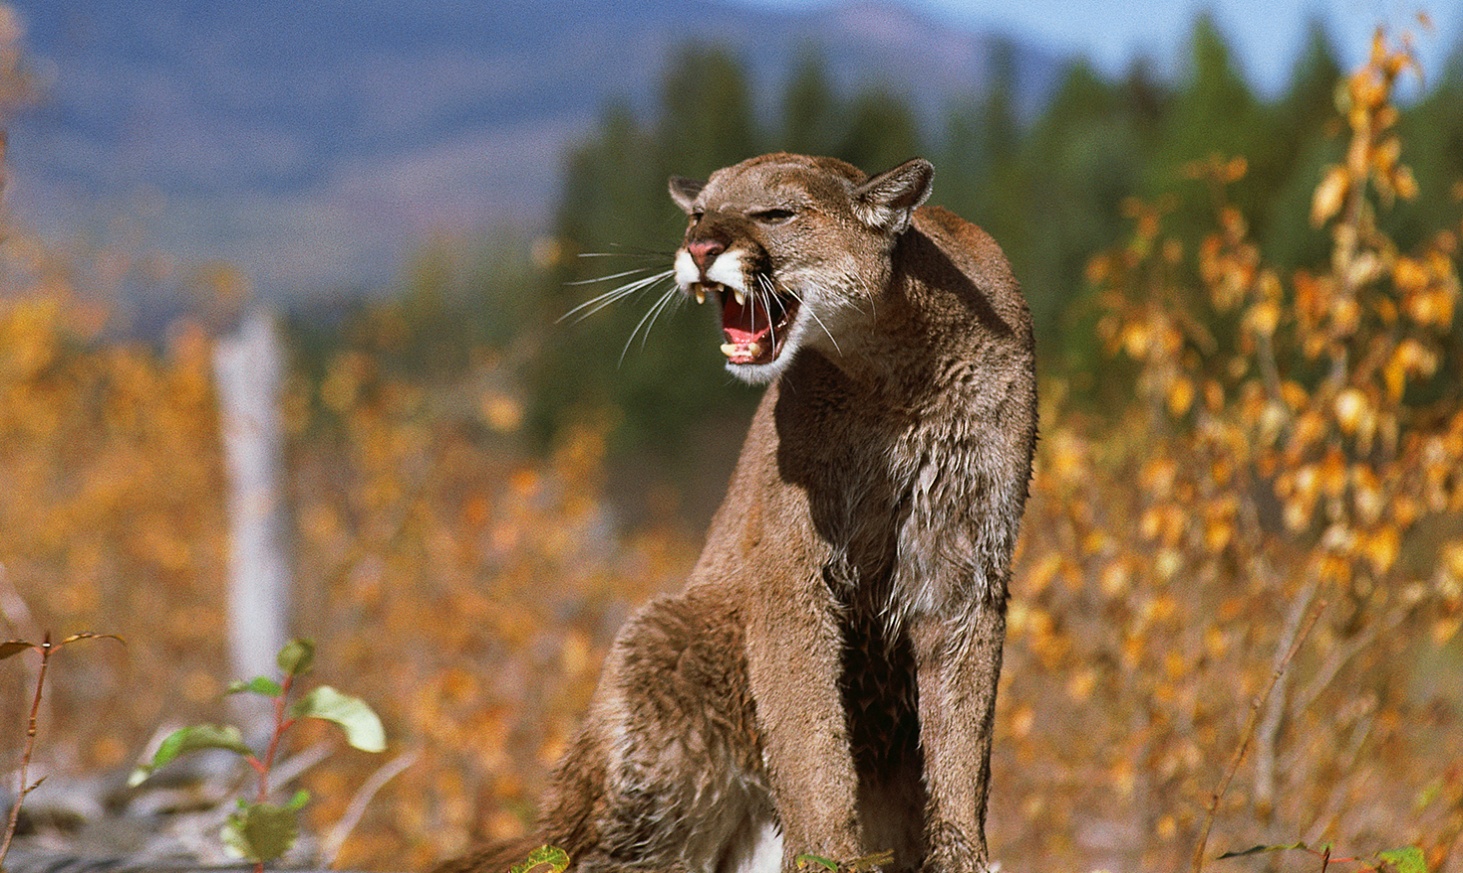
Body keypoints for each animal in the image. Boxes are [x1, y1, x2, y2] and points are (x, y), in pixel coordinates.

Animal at [435, 156, 1041, 871]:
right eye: (699, 214)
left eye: (775, 214)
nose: (700, 249)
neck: (896, 373)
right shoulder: (791, 570)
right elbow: (811, 735)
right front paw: (829, 855)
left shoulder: (966, 566)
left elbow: (962, 737)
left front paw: (959, 854)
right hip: (661, 659)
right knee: (579, 843)